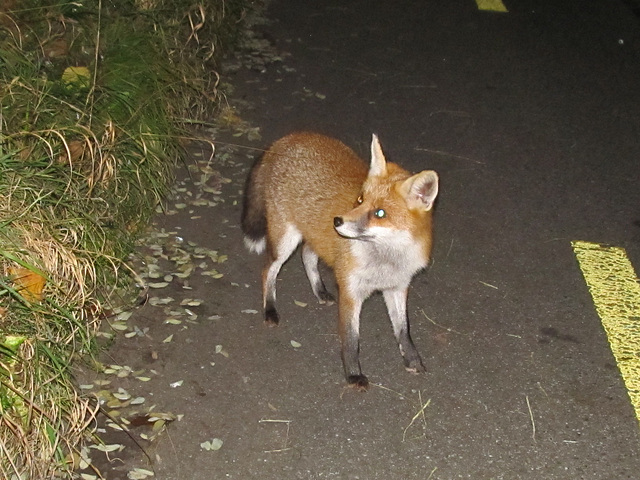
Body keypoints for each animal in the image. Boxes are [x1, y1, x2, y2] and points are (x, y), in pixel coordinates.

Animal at [241, 132, 440, 390]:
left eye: (380, 213)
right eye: (360, 199)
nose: (337, 221)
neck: (385, 262)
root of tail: (292, 136)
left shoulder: (398, 287)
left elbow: (404, 330)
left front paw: (412, 359)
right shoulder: (350, 290)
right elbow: (351, 339)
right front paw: (353, 375)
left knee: (307, 254)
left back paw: (319, 291)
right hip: (284, 241)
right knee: (268, 271)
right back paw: (270, 310)